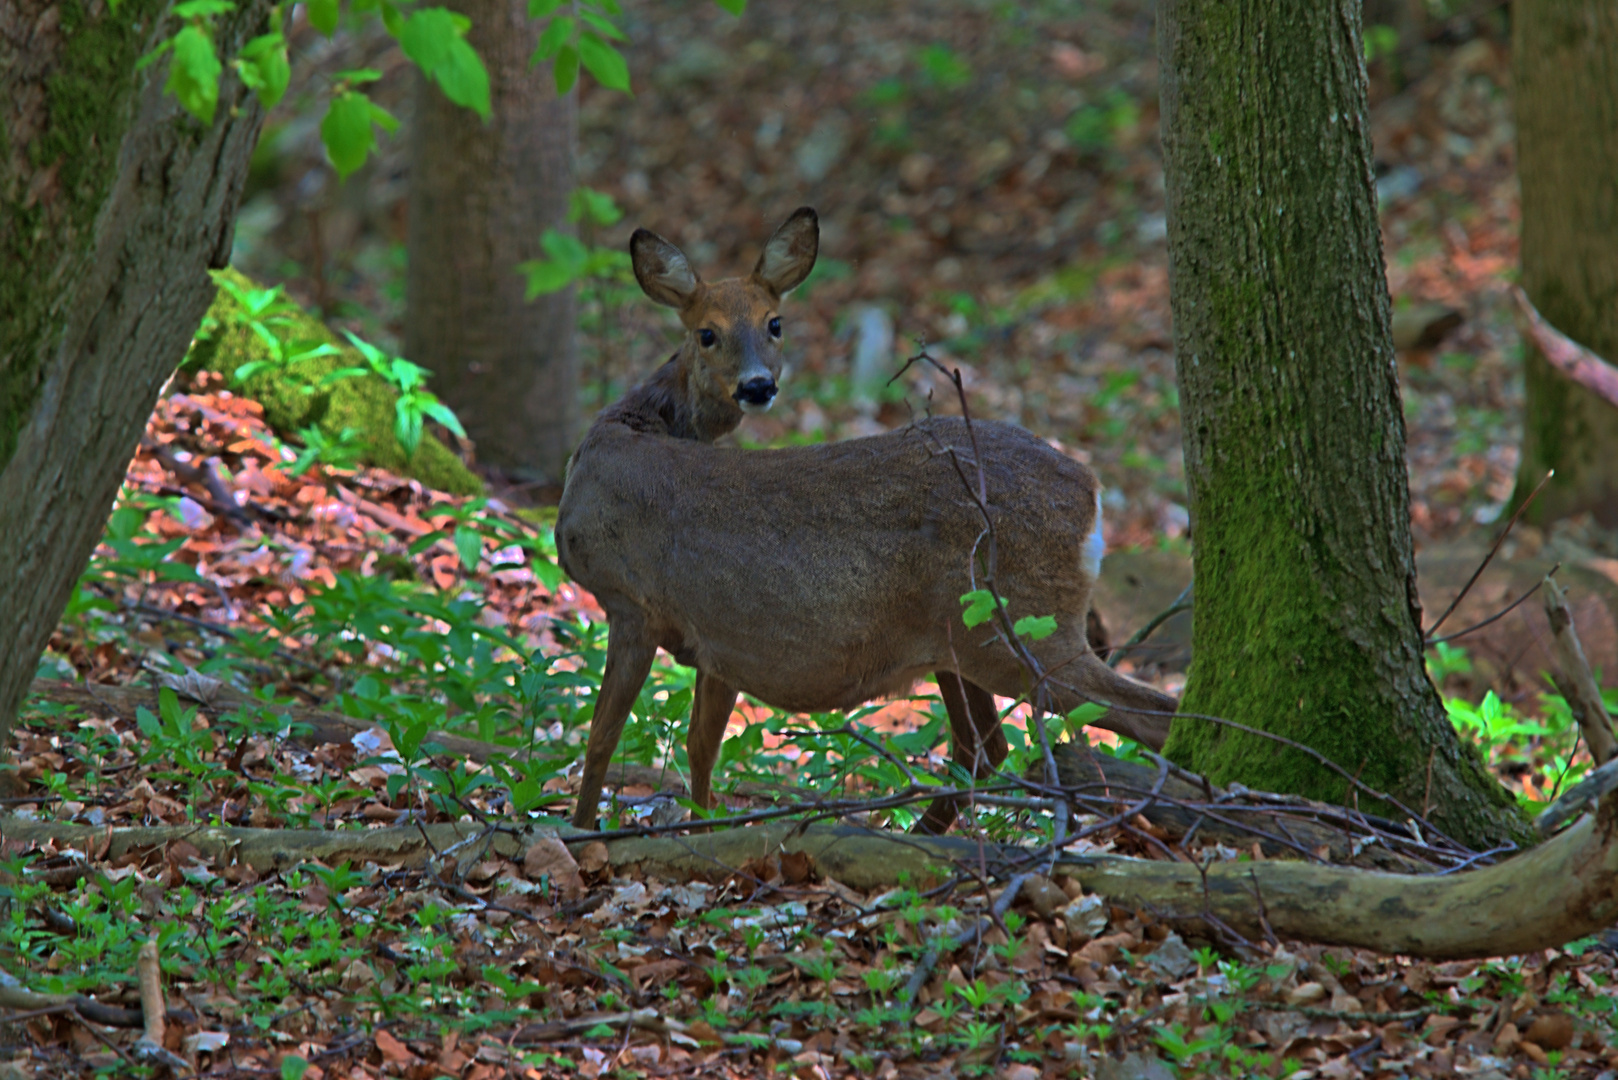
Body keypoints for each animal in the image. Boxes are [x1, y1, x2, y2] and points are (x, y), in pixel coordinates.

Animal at [556, 207, 1177, 835]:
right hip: (963, 636)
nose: (757, 385)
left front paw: (579, 831)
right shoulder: (714, 637)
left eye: (774, 323)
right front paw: (701, 827)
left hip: (1024, 626)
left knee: (1149, 711)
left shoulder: (631, 601)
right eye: (706, 332)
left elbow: (601, 740)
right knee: (983, 746)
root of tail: (1092, 492)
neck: (629, 427)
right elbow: (701, 746)